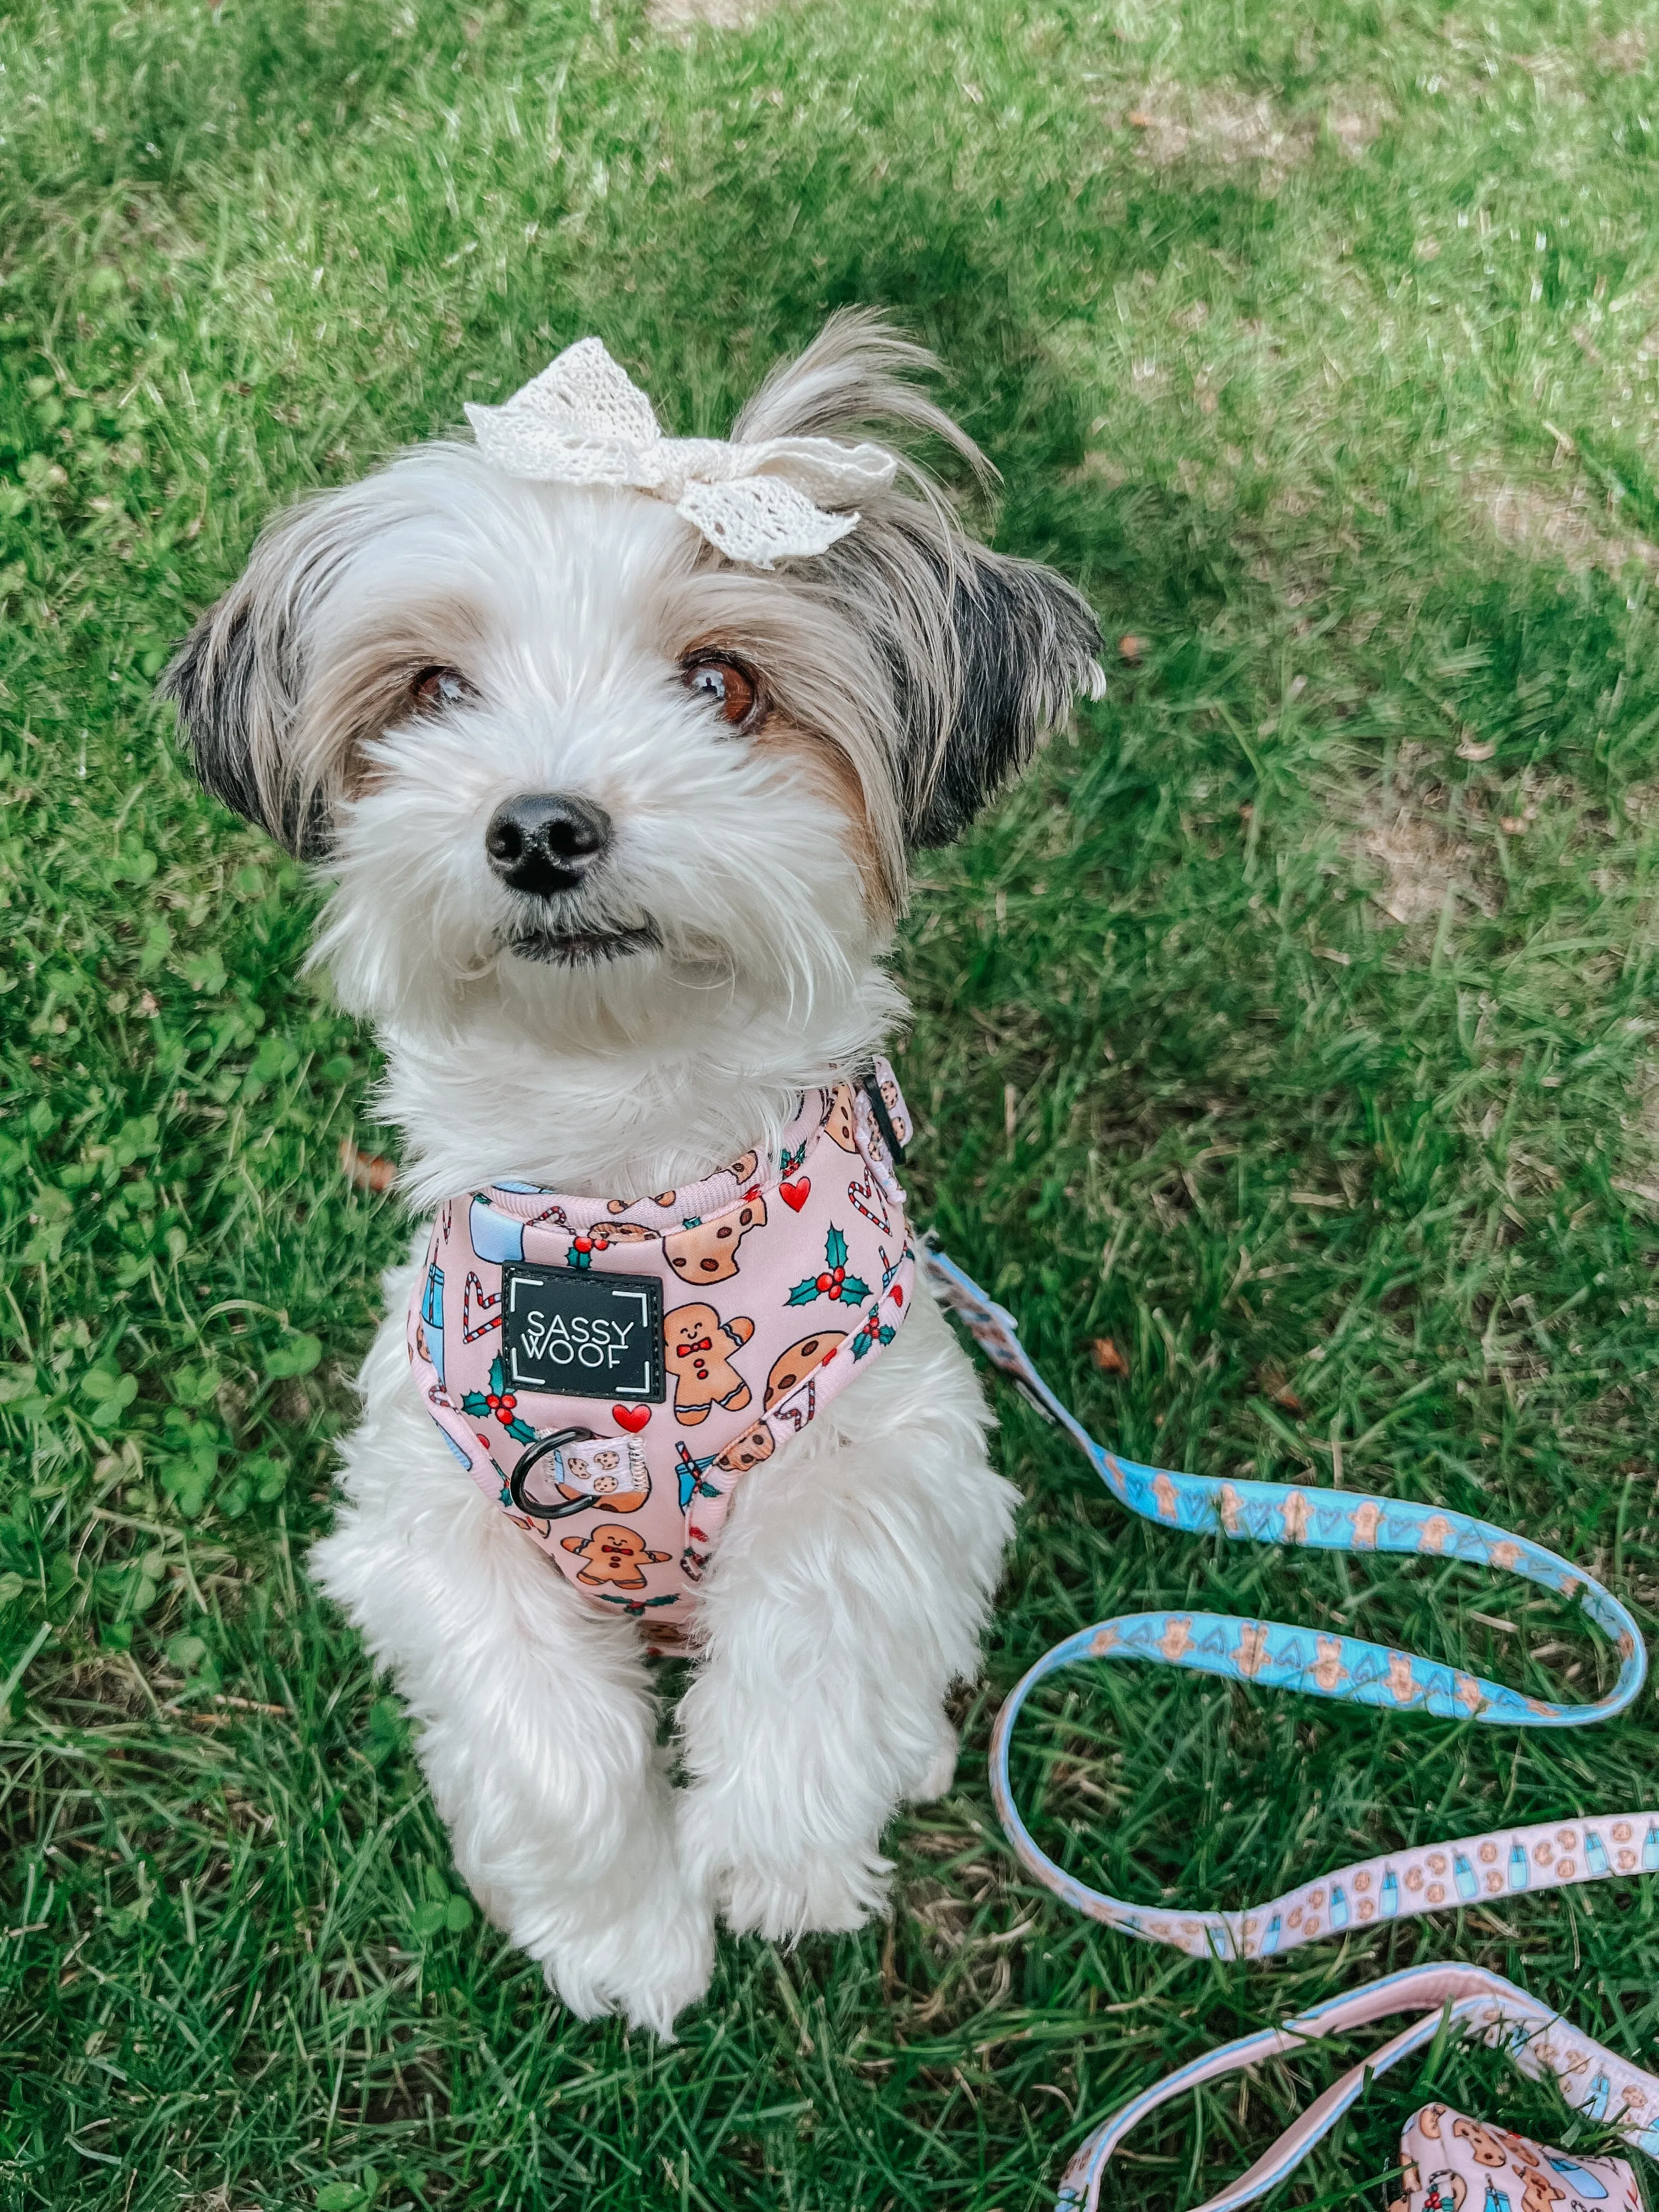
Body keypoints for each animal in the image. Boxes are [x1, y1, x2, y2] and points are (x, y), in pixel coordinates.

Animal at [162, 316, 1110, 2035]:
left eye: (722, 683)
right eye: (433, 689)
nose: (541, 826)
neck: (626, 1207)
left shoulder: (888, 1458)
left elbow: (810, 1659)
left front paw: (781, 1871)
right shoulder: (430, 1522)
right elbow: (548, 1753)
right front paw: (629, 1935)